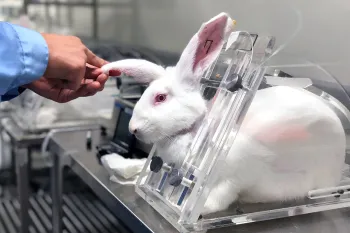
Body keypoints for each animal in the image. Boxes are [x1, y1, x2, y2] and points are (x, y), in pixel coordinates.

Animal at [100, 12, 344, 216]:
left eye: (160, 97)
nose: (133, 129)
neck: (196, 130)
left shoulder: (236, 175)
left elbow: (219, 196)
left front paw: (198, 208)